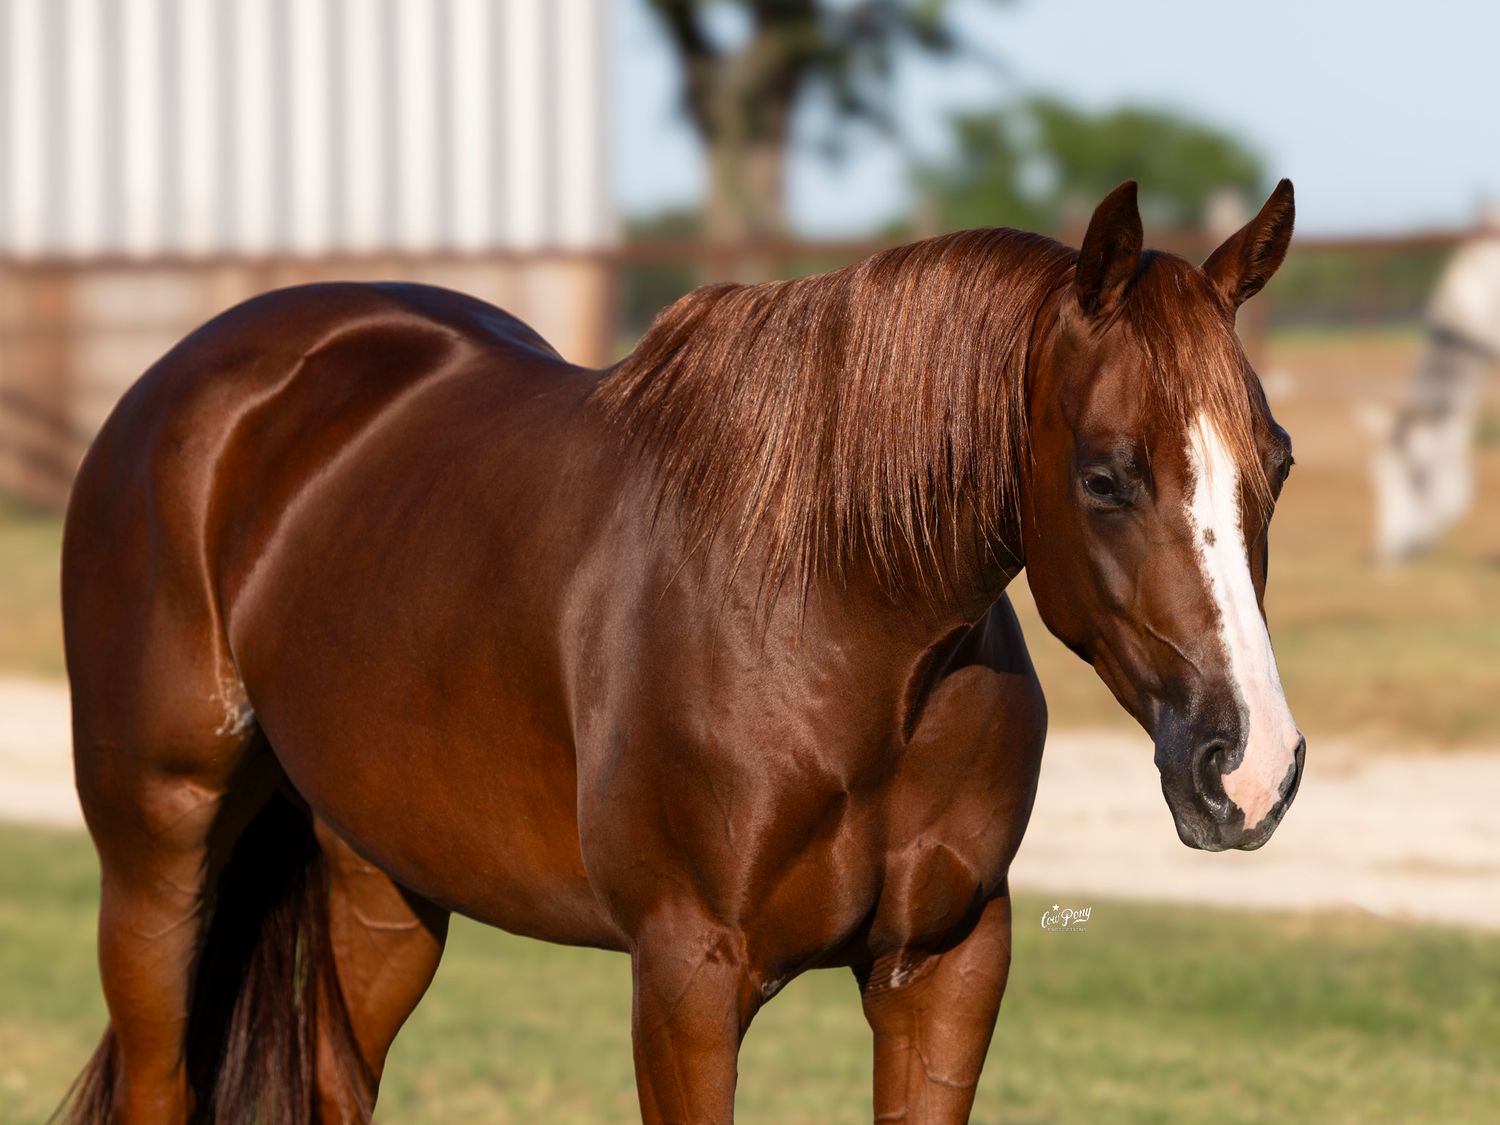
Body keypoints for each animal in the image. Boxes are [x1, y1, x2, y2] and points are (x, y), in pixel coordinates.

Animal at [58, 179, 1304, 1124]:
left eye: (1277, 460)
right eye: (1105, 475)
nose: (1247, 769)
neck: (840, 617)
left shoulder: (947, 964)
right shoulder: (687, 980)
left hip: (382, 885)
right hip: (158, 853)